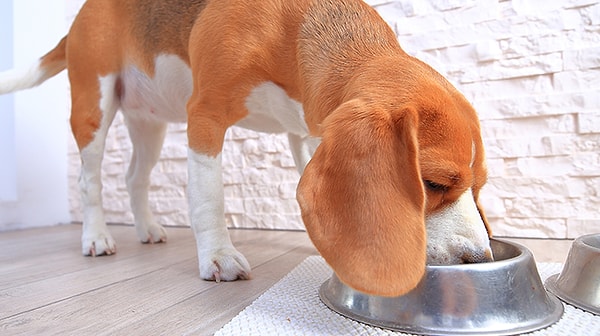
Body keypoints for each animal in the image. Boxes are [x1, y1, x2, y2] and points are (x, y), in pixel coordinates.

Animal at [1, 0, 492, 296]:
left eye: (480, 187)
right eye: (432, 183)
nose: (479, 259)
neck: (294, 29)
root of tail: (79, 17)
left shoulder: (307, 133)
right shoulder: (205, 115)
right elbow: (208, 199)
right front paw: (218, 256)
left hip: (149, 123)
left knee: (134, 177)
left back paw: (147, 229)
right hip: (93, 107)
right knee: (90, 181)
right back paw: (97, 237)